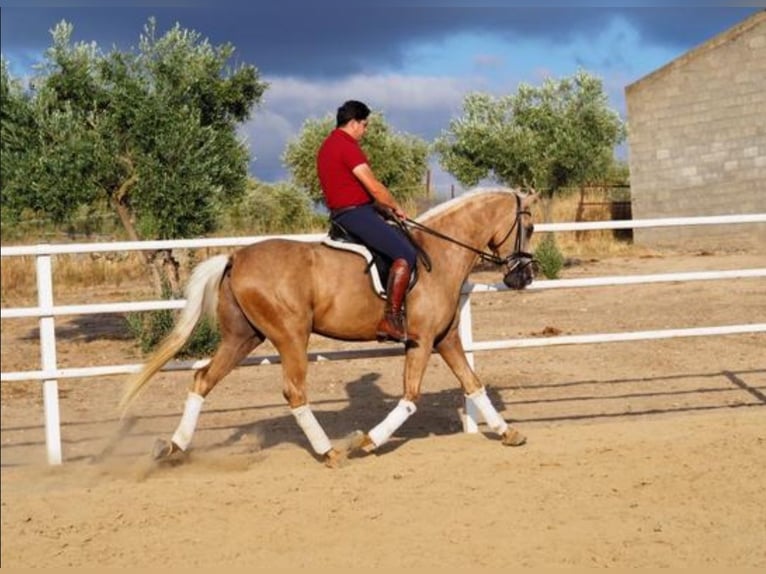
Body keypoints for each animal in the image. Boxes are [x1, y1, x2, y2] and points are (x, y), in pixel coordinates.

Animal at [120, 188, 540, 468]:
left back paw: (173, 448)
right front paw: (365, 442)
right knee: (294, 392)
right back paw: (330, 451)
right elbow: (410, 398)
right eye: (531, 226)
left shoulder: (445, 339)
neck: (440, 254)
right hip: (291, 336)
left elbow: (473, 384)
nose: (525, 275)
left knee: (203, 380)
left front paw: (508, 432)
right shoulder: (420, 342)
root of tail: (236, 257)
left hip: (243, 337)